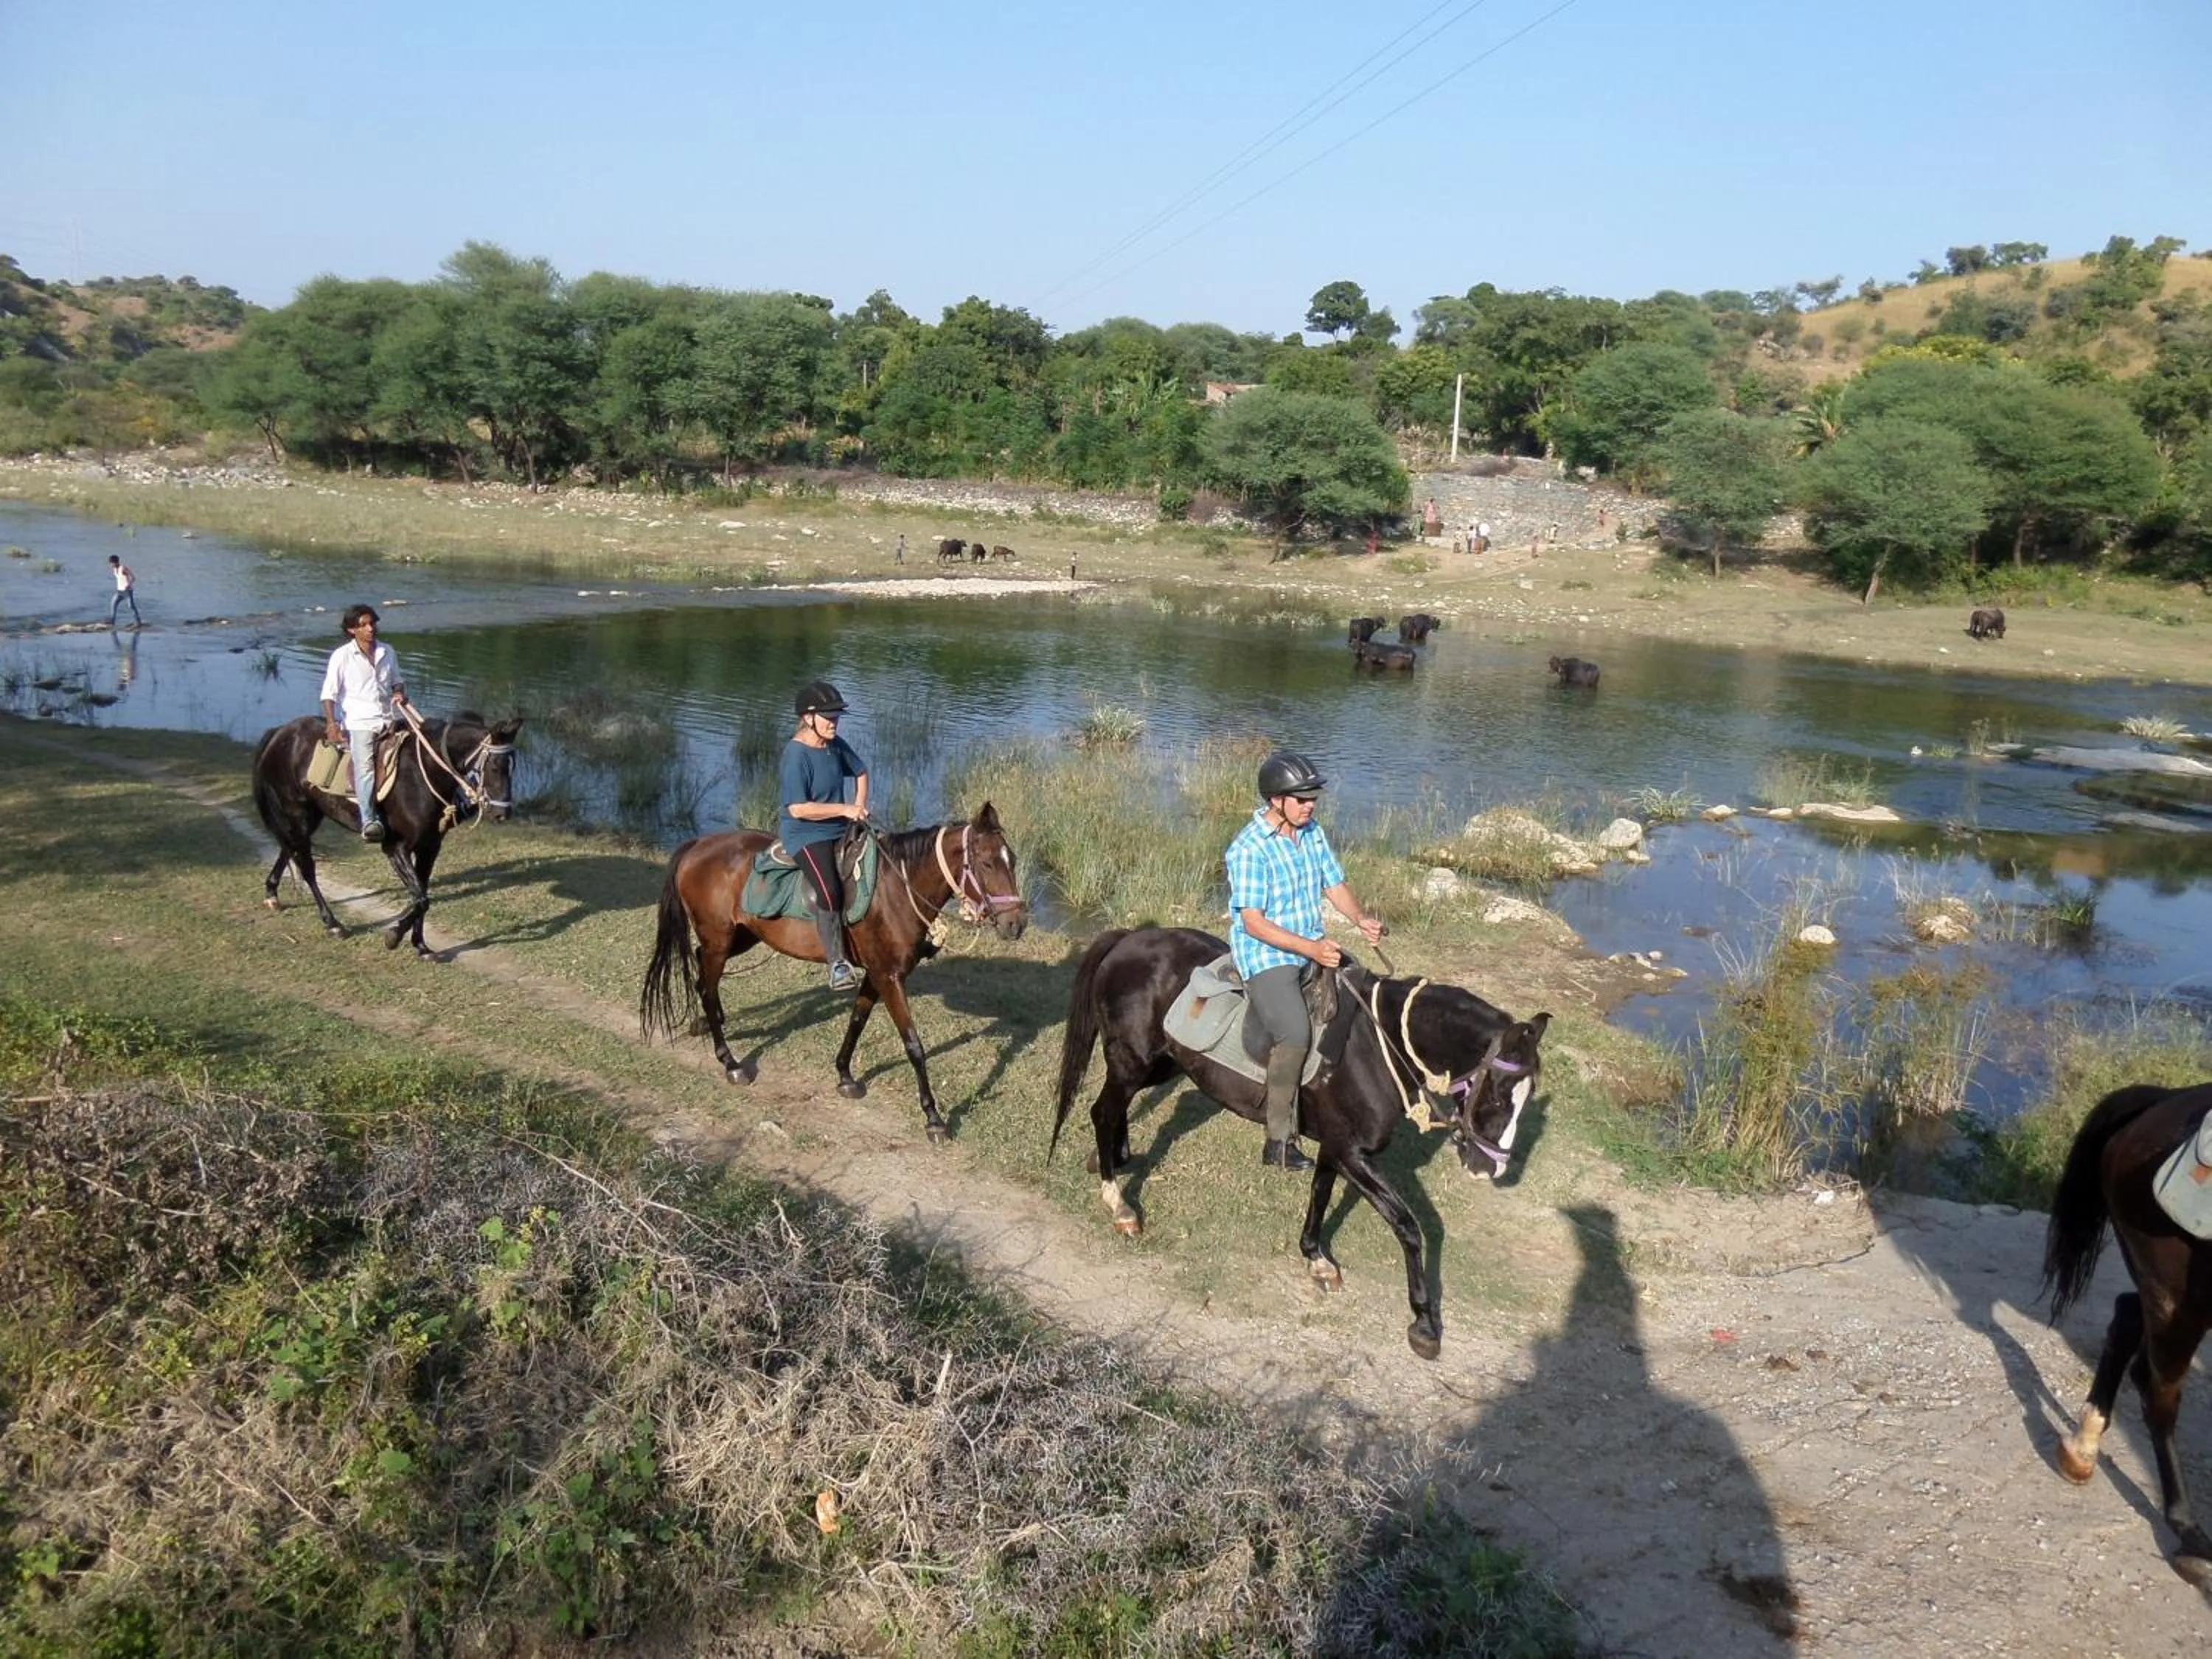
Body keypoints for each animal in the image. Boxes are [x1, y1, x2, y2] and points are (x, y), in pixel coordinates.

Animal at [252, 710, 523, 954]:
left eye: (513, 767)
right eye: (496, 767)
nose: (503, 813)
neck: (423, 774)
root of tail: (281, 732)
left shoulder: (429, 847)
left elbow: (421, 894)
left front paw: (420, 945)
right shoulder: (396, 847)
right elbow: (421, 899)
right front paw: (394, 935)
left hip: (311, 815)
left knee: (289, 848)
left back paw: (272, 893)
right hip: (297, 812)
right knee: (306, 866)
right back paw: (333, 924)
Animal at [639, 804, 1028, 1143]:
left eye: (1012, 860)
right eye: (987, 862)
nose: (1017, 924)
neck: (896, 889)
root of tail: (699, 845)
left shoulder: (876, 974)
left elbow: (857, 1021)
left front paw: (844, 1075)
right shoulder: (890, 977)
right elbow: (914, 1046)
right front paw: (933, 1117)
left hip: (740, 936)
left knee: (702, 968)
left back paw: (709, 1022)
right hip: (721, 939)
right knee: (707, 984)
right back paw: (730, 1061)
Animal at [1051, 925, 1550, 1358]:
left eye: (1527, 1097)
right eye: (1498, 1094)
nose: (1491, 1168)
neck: (1375, 1047)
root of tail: (1131, 937)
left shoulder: (1336, 1145)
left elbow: (1320, 1194)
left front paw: (1316, 1258)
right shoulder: (1354, 1153)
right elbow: (1408, 1226)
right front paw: (1424, 1324)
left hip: (1162, 1062)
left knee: (1113, 1110)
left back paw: (1112, 1158)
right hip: (1132, 1060)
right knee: (1103, 1111)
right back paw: (1119, 1204)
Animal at [2042, 1081, 2212, 1585]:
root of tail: (2162, 1101)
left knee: (2127, 1316)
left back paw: (2083, 1446)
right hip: (2176, 1291)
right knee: (2158, 1395)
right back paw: (2190, 1535)